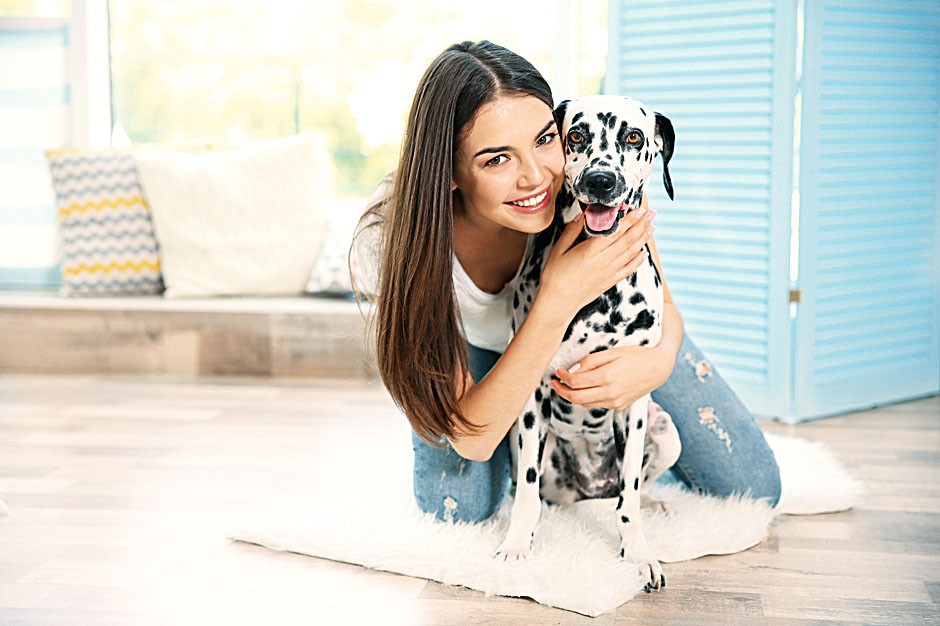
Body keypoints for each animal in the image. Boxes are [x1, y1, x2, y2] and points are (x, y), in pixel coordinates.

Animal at [495, 95, 680, 593]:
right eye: (576, 135)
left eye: (633, 137)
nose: (601, 181)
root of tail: (589, 489)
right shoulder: (532, 396)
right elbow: (526, 491)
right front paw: (516, 544)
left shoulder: (633, 402)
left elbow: (629, 498)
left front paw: (638, 554)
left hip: (665, 431)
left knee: (631, 490)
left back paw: (654, 503)